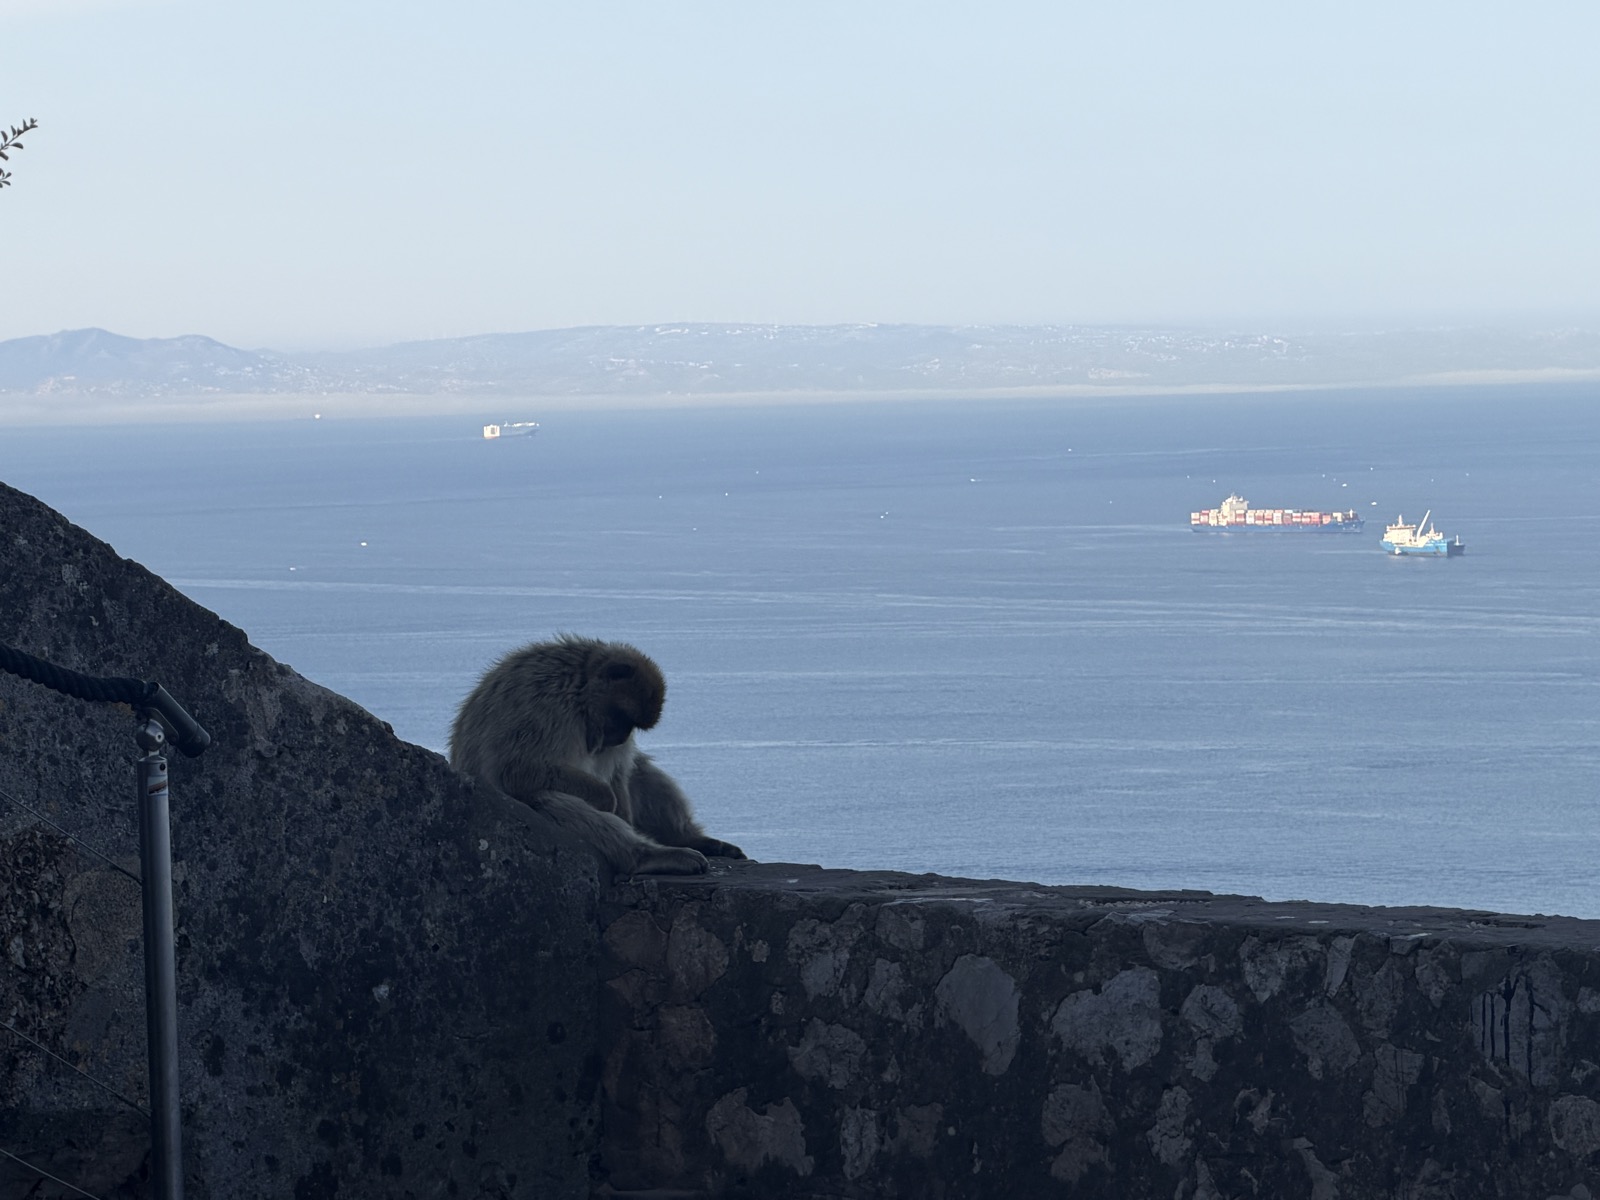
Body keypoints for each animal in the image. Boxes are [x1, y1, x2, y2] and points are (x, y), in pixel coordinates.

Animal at [448, 635, 746, 876]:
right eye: (622, 718)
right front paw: (606, 799)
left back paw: (686, 838)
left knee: (639, 770)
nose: (622, 738)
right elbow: (516, 770)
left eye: (632, 726)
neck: (579, 686)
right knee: (550, 798)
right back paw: (648, 856)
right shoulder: (546, 705)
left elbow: (619, 772)